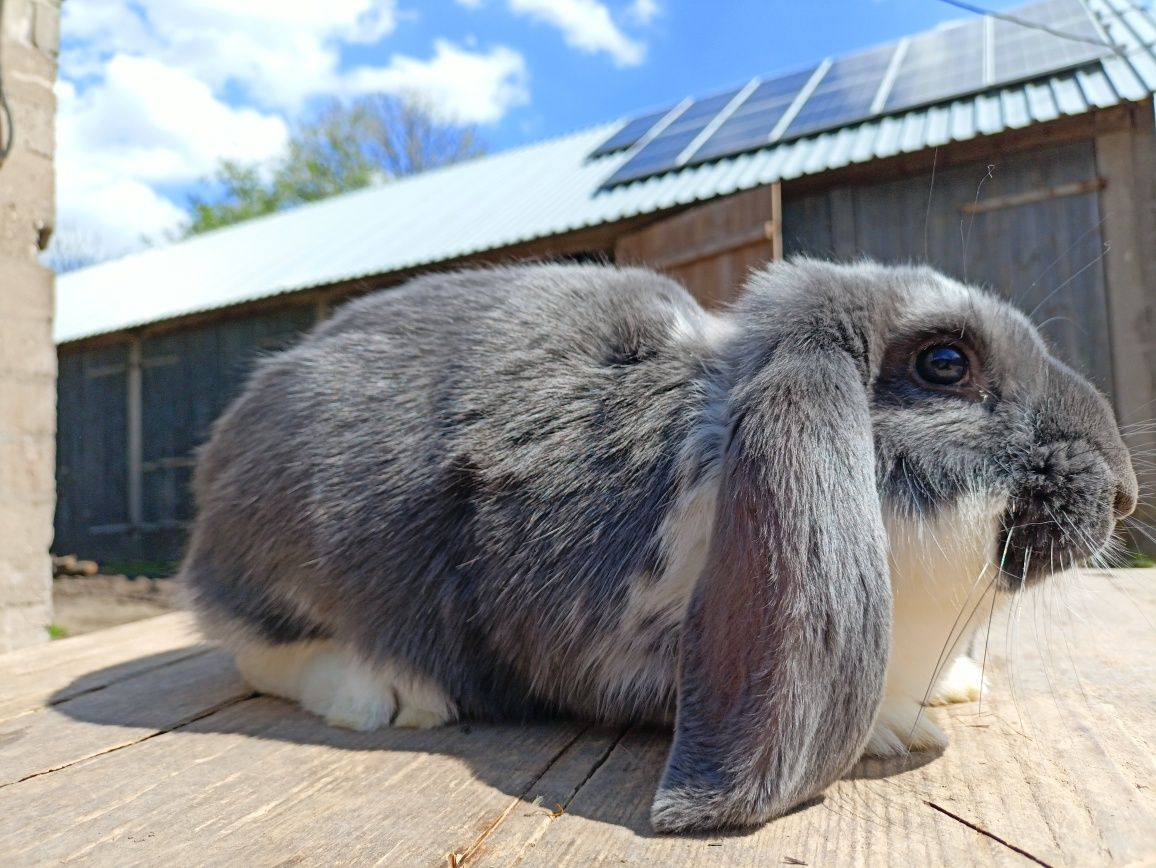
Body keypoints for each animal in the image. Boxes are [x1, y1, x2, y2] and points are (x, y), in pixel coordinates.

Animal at [187, 260, 1137, 836]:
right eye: (945, 363)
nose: (1126, 491)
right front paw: (893, 729)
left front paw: (953, 687)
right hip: (289, 561)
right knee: (252, 648)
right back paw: (381, 693)